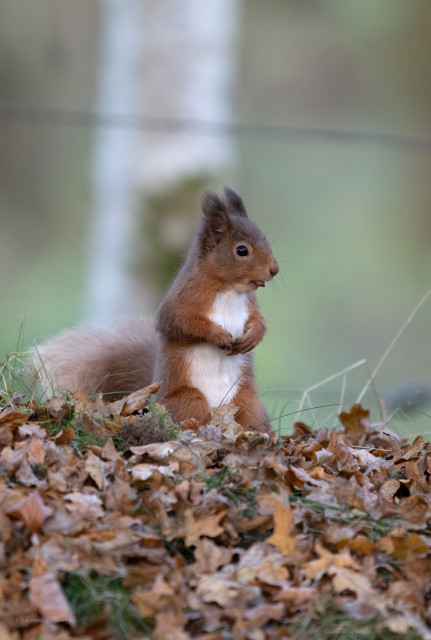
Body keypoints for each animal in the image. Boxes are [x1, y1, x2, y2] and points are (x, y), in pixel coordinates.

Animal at [37, 188, 280, 432]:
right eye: (242, 250)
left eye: (265, 238)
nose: (274, 270)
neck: (229, 289)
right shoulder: (182, 299)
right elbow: (179, 323)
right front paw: (218, 335)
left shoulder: (249, 305)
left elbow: (258, 319)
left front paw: (253, 336)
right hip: (189, 400)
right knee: (192, 416)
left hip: (247, 405)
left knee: (250, 418)